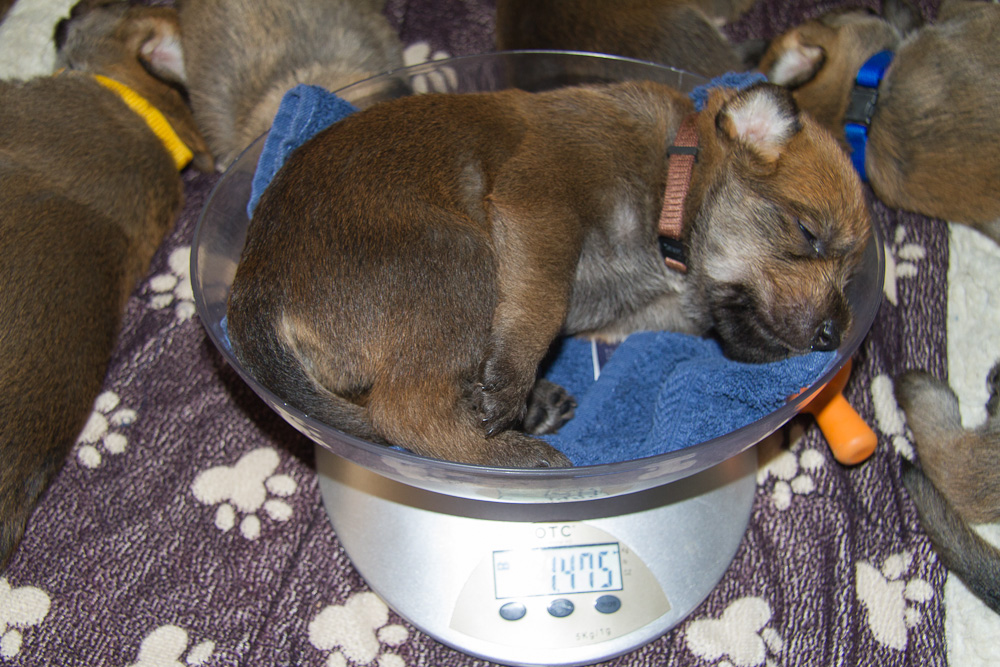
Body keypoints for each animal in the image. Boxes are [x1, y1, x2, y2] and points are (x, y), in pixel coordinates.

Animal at [226, 78, 872, 469]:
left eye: (850, 275)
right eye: (808, 233)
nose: (833, 336)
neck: (671, 184)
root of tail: (256, 285)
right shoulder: (542, 203)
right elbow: (542, 301)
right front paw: (511, 378)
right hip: (456, 256)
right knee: (407, 411)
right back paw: (520, 454)